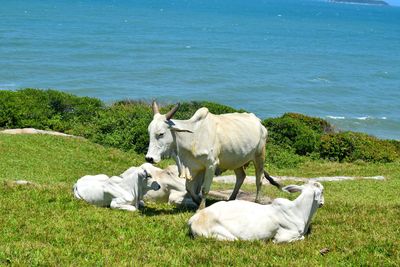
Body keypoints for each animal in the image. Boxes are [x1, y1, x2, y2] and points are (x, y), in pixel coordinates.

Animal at [145, 101, 282, 210]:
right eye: (149, 132)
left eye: (161, 134)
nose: (149, 158)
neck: (192, 137)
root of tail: (259, 122)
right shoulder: (196, 167)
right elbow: (189, 188)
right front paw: (197, 200)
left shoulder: (211, 165)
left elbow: (205, 188)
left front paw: (201, 208)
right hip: (236, 159)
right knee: (241, 176)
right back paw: (231, 199)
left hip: (259, 156)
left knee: (259, 179)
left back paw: (257, 200)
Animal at [188, 181, 324, 244]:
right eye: (322, 191)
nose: (322, 202)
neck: (299, 211)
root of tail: (194, 218)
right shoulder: (285, 236)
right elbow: (300, 238)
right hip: (224, 236)